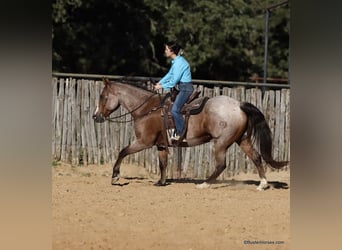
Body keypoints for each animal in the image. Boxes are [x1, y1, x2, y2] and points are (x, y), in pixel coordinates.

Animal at [92, 78, 288, 189]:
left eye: (102, 97)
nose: (95, 116)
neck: (148, 109)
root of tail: (239, 105)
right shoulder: (161, 145)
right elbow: (162, 163)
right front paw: (161, 182)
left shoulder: (143, 141)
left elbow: (122, 152)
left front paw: (115, 177)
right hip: (243, 139)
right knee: (256, 157)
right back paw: (263, 184)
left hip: (221, 142)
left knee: (221, 165)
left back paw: (204, 184)